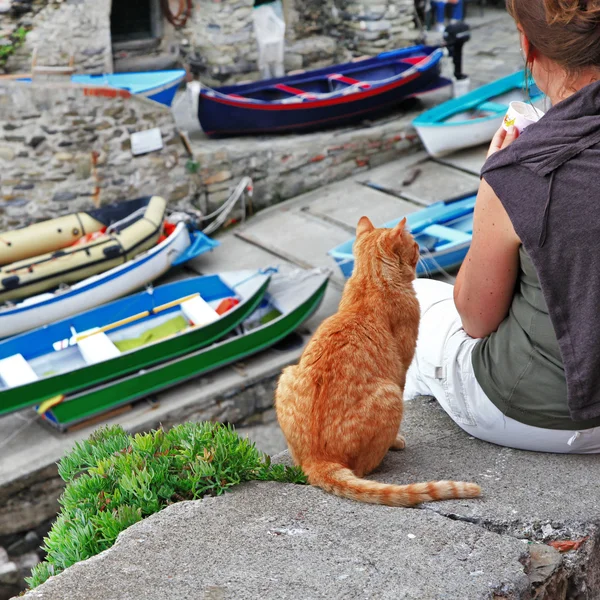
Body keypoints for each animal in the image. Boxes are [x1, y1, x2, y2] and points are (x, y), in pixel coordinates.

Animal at [276, 216, 482, 506]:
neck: (369, 282)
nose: (422, 249)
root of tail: (318, 460)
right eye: (415, 244)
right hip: (391, 394)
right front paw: (397, 441)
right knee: (363, 470)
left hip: (286, 375)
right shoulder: (402, 368)